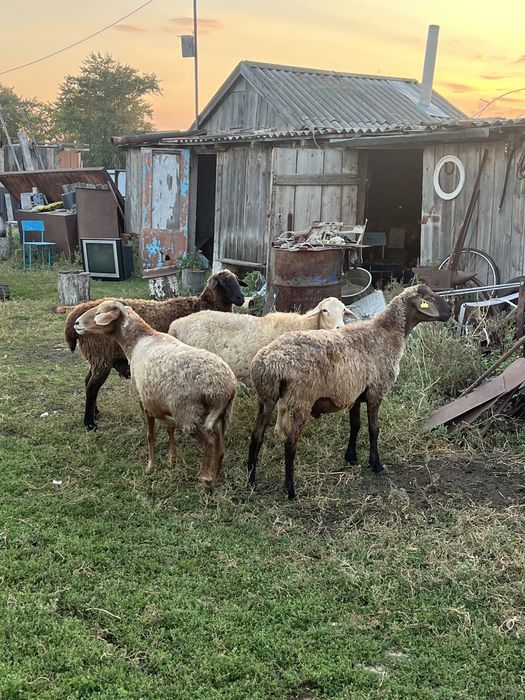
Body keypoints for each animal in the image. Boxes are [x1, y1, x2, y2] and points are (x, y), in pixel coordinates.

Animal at [65, 270, 244, 430]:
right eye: (223, 283)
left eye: (237, 281)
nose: (241, 298)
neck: (203, 305)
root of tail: (76, 316)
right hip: (101, 356)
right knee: (92, 387)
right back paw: (89, 423)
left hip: (96, 357)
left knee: (87, 382)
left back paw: (95, 412)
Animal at [73, 299, 237, 489]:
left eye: (99, 313)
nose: (76, 323)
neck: (138, 340)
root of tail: (224, 388)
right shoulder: (160, 402)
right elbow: (169, 429)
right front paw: (172, 460)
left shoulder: (144, 401)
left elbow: (150, 435)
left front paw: (151, 466)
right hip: (222, 416)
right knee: (220, 449)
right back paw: (215, 479)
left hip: (187, 413)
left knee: (209, 445)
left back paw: (205, 479)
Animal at [248, 284, 452, 499]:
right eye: (429, 298)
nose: (450, 311)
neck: (387, 333)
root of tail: (267, 363)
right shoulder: (375, 392)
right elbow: (373, 429)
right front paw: (376, 464)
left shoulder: (355, 395)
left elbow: (355, 425)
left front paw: (351, 457)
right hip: (300, 400)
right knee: (290, 444)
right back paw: (290, 490)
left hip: (266, 397)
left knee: (256, 436)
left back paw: (251, 481)